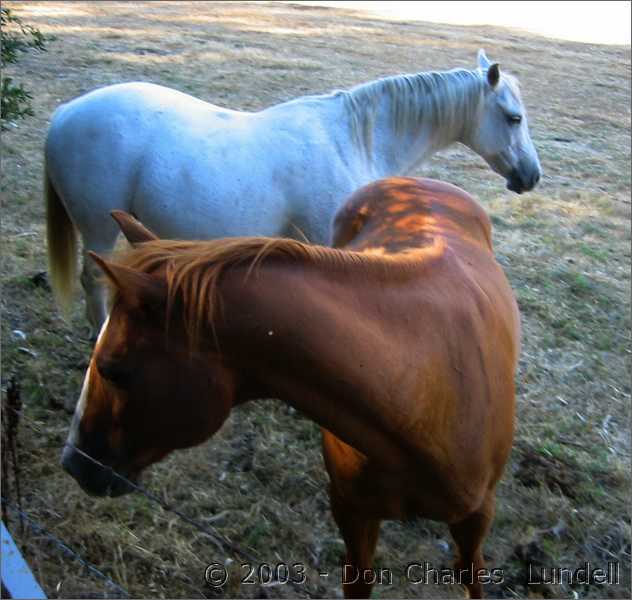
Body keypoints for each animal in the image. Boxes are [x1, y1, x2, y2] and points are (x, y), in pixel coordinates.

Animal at [45, 49, 540, 336]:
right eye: (513, 117)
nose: (531, 176)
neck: (353, 138)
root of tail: (65, 114)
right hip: (97, 225)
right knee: (93, 280)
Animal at [63, 178, 520, 600]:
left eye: (113, 369)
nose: (73, 462)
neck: (419, 390)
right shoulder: (352, 511)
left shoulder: (477, 517)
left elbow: (471, 576)